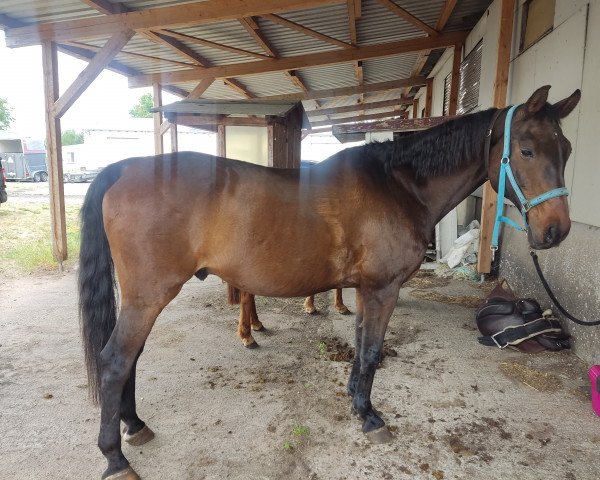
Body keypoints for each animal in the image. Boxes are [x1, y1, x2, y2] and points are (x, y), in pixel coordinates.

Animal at [77, 87, 580, 480]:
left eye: (568, 150)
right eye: (527, 150)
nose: (556, 230)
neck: (398, 186)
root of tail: (126, 167)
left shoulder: (363, 289)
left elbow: (360, 345)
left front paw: (357, 402)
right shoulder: (383, 289)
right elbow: (373, 350)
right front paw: (371, 418)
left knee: (130, 358)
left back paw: (135, 425)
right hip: (149, 296)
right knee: (116, 360)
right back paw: (115, 458)